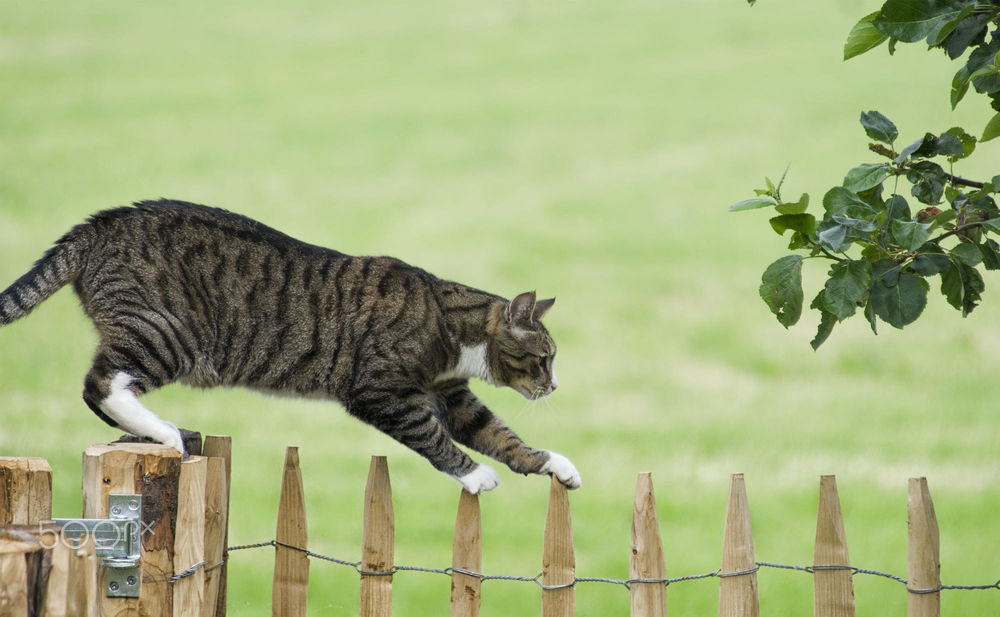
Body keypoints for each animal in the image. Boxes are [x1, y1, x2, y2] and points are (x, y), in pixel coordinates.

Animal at [0, 200, 580, 494]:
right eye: (545, 359)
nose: (556, 385)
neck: (449, 324)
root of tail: (98, 223)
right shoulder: (383, 392)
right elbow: (433, 436)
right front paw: (474, 475)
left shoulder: (452, 395)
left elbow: (499, 434)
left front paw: (552, 464)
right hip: (167, 332)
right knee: (99, 384)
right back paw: (167, 432)